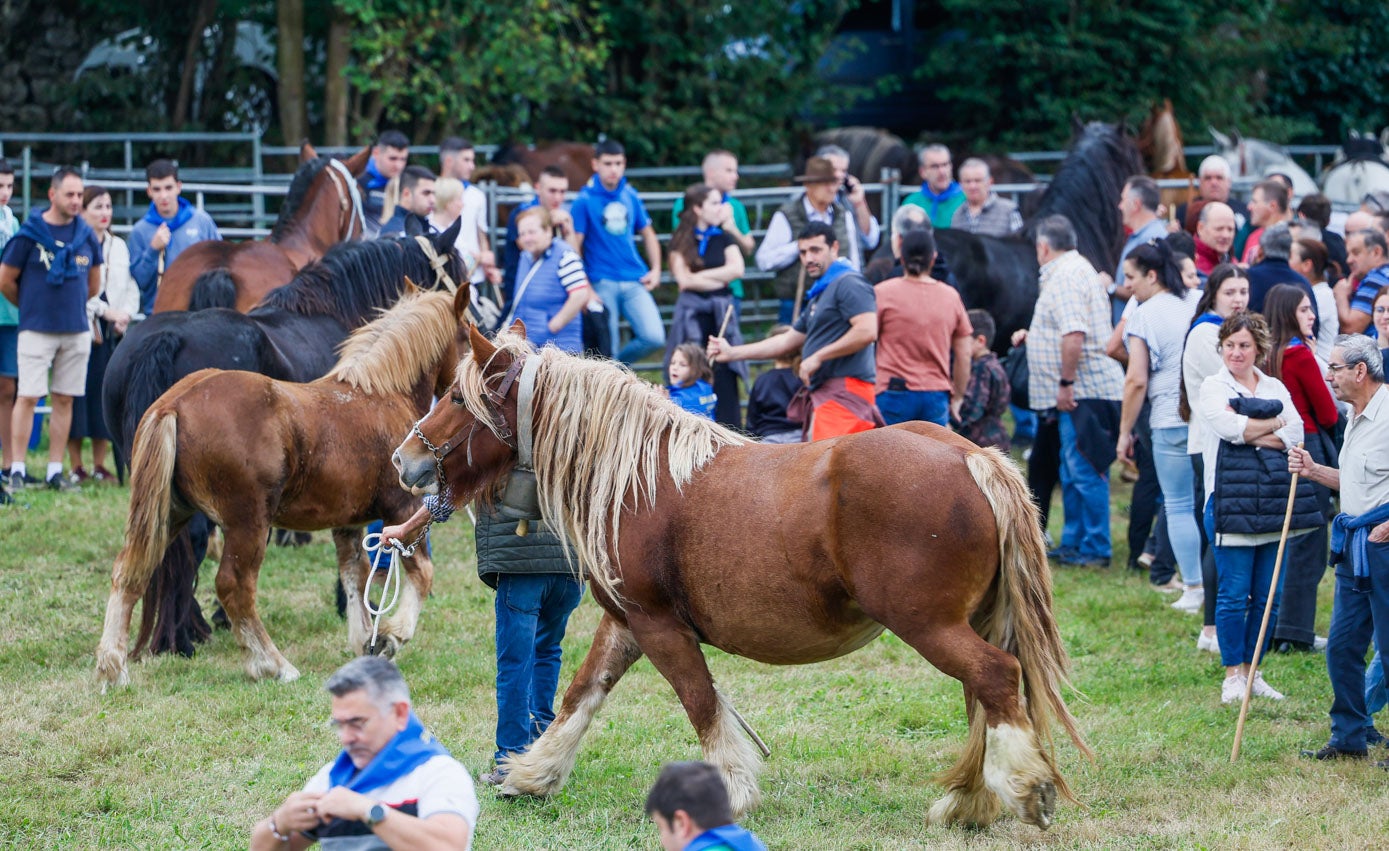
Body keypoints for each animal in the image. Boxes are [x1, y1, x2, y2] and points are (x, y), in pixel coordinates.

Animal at [102, 222, 466, 658]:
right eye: (460, 270)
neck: (376, 390)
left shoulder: (348, 516)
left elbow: (355, 570)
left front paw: (365, 631)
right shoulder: (399, 504)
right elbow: (413, 570)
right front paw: (386, 632)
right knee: (216, 568)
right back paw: (203, 639)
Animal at [390, 325, 1089, 830]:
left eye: (457, 398)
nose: (404, 457)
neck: (636, 478)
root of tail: (971, 456)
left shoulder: (660, 627)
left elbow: (700, 703)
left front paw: (728, 792)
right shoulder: (626, 622)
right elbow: (580, 696)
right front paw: (532, 775)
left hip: (931, 625)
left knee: (994, 679)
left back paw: (1023, 788)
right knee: (983, 695)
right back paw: (972, 803)